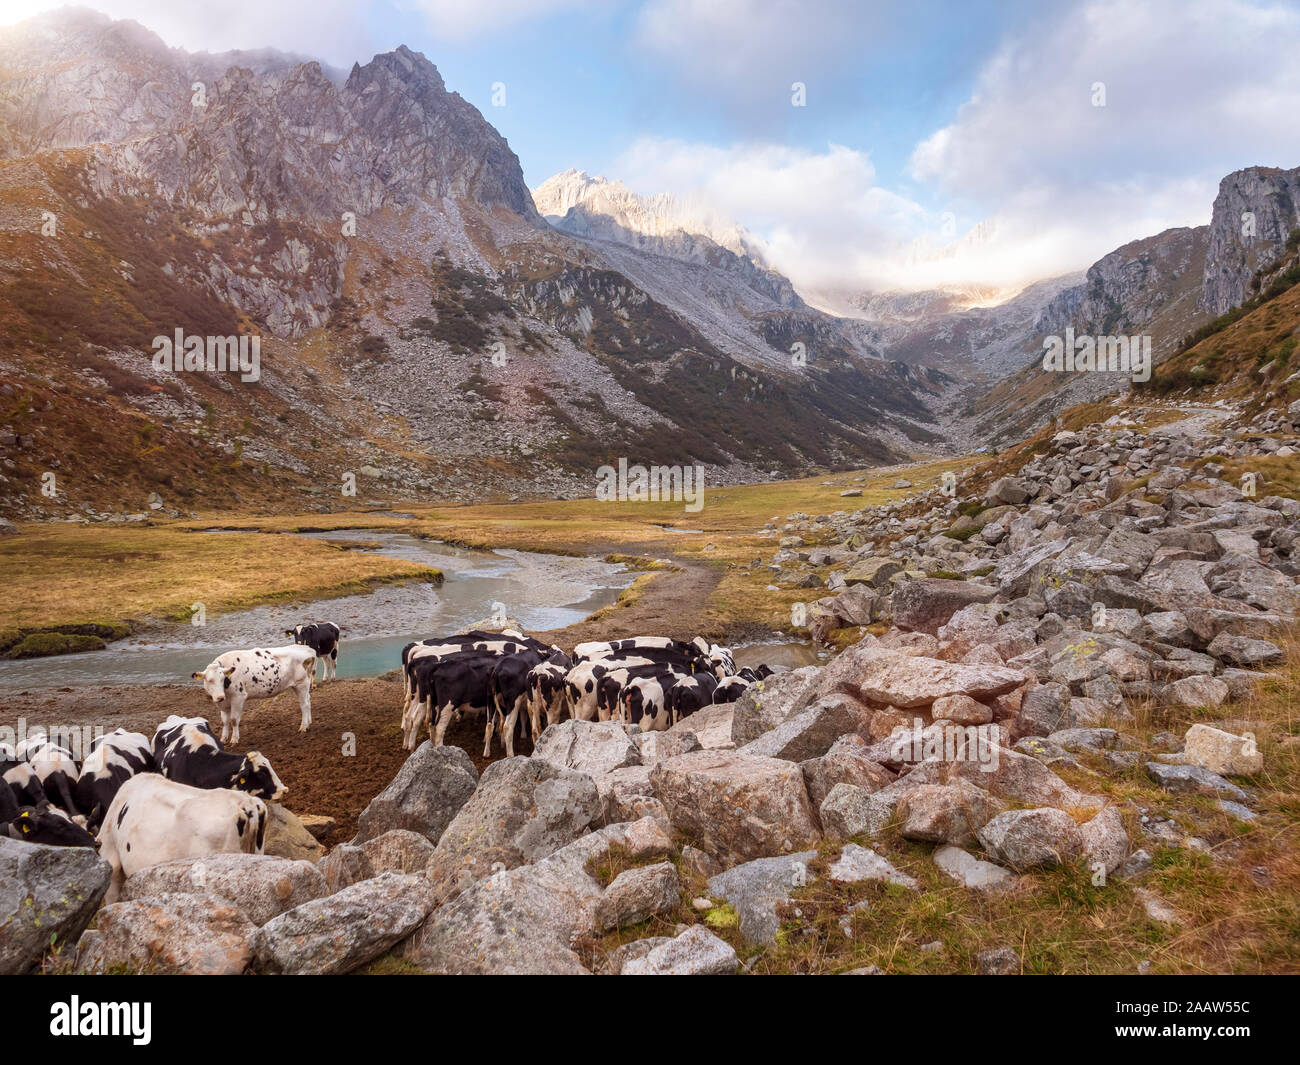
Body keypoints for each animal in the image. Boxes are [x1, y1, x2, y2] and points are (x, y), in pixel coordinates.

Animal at [189, 644, 317, 743]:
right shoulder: (223, 704)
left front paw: (234, 739)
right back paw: (309, 722)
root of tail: (307, 649)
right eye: (209, 680)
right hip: (301, 685)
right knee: (308, 700)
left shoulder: (238, 698)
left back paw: (303, 727)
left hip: (301, 684)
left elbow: (234, 720)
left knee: (304, 705)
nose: (220, 697)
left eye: (222, 679)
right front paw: (223, 739)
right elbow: (224, 721)